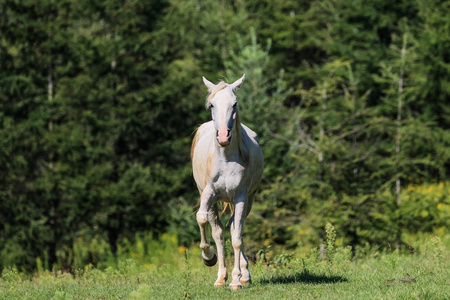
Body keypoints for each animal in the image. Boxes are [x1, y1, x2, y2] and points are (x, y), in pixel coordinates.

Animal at [191, 74, 264, 288]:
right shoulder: (209, 193)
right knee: (219, 232)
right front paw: (209, 258)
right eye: (212, 104)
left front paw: (237, 281)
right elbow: (202, 219)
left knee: (233, 228)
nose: (223, 136)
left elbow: (237, 237)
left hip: (249, 199)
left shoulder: (241, 197)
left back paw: (241, 275)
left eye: (235, 104)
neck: (225, 158)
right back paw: (220, 277)